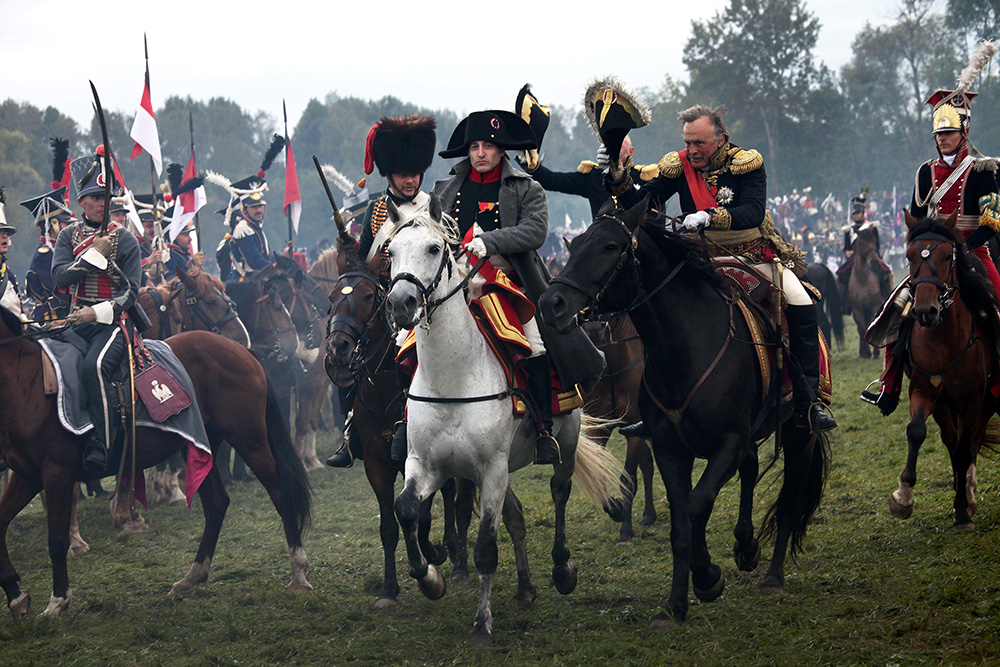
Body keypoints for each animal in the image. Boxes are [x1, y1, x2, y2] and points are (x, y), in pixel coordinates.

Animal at [0, 318, 310, 620]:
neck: (26, 381)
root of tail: (240, 349)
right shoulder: (27, 475)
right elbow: (2, 523)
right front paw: (16, 596)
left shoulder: (57, 474)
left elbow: (56, 540)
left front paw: (57, 601)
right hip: (199, 445)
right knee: (216, 503)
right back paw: (192, 577)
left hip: (249, 438)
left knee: (281, 494)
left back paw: (298, 573)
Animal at [386, 197, 620, 648]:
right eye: (390, 252)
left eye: (433, 249)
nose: (401, 303)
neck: (453, 378)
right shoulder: (426, 465)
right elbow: (405, 509)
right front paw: (430, 578)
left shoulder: (490, 470)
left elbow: (485, 549)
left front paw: (481, 624)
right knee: (516, 517)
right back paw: (526, 588)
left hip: (563, 443)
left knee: (559, 491)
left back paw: (562, 570)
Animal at [544, 200, 832, 632]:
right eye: (575, 244)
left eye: (610, 246)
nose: (552, 303)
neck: (684, 346)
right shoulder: (670, 447)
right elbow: (681, 524)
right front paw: (676, 604)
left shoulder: (727, 442)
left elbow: (697, 504)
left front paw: (707, 577)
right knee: (750, 472)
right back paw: (745, 545)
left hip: (800, 432)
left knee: (789, 499)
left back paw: (772, 575)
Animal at [884, 213, 1000, 528]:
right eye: (909, 256)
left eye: (948, 256)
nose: (925, 311)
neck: (947, 338)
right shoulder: (925, 392)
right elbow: (916, 432)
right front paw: (903, 497)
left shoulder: (973, 400)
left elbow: (963, 450)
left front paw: (961, 509)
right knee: (953, 440)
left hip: (984, 401)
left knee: (971, 441)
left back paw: (968, 494)